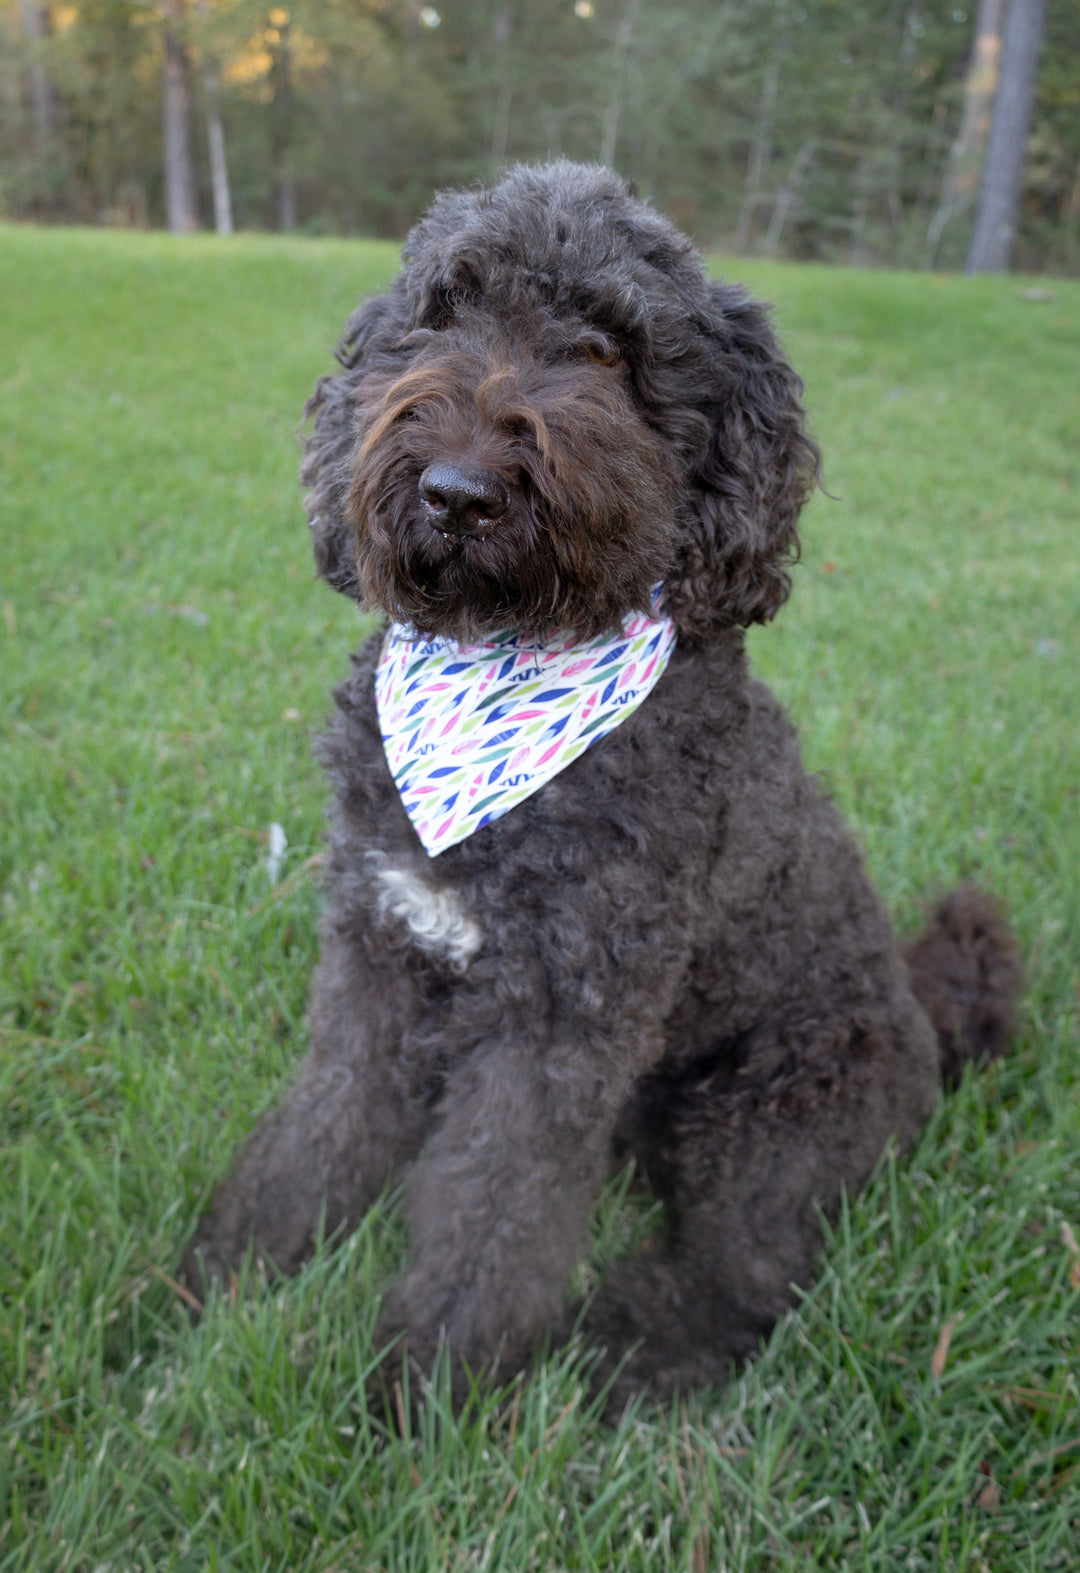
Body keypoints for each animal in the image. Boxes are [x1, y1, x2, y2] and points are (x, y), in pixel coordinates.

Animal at [183, 162, 1024, 1415]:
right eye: (445, 311)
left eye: (608, 350)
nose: (460, 491)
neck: (499, 669)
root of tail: (926, 1027)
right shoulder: (379, 956)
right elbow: (323, 1125)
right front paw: (219, 1278)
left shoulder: (561, 1019)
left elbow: (495, 1211)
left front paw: (425, 1393)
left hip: (774, 1117)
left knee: (751, 1274)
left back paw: (623, 1350)